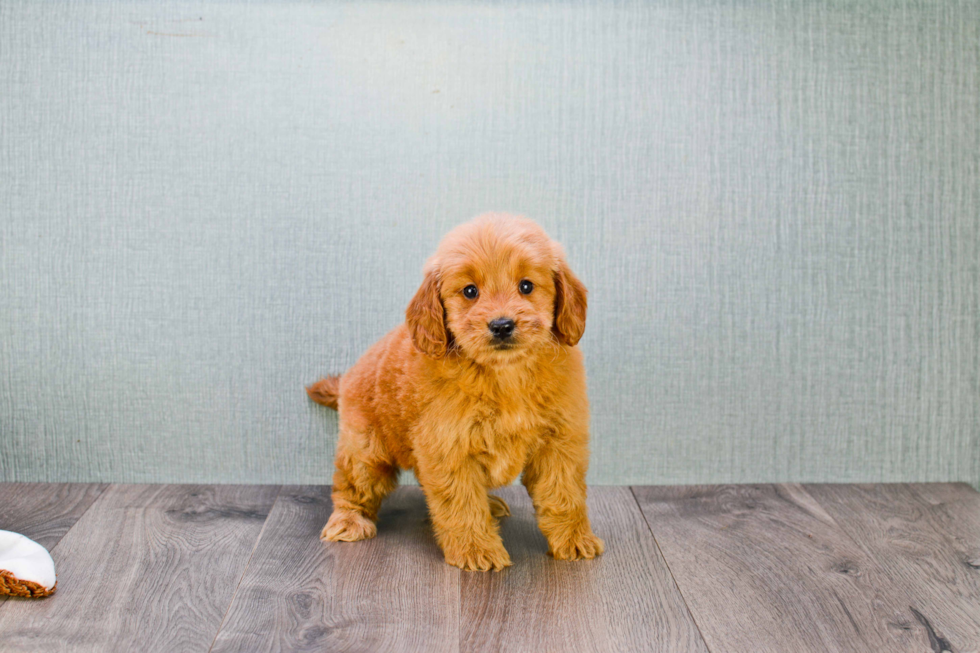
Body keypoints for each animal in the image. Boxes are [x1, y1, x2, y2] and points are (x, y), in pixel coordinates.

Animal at [306, 211, 600, 568]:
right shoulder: (450, 446)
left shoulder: (559, 443)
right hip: (365, 447)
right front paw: (477, 550)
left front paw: (574, 539)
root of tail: (349, 375)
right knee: (351, 484)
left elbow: (564, 494)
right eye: (470, 291)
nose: (502, 325)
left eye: (526, 286)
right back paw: (348, 519)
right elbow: (461, 502)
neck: (504, 374)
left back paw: (491, 505)